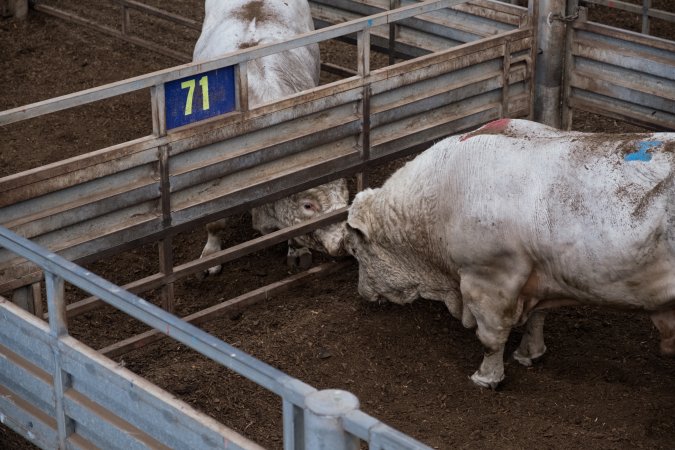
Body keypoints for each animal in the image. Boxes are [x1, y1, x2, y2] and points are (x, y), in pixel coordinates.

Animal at [194, 0, 348, 274]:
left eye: (346, 192)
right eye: (308, 206)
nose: (345, 242)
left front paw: (298, 252)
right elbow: (215, 223)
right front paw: (210, 257)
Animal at [346, 118, 675, 386]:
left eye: (356, 251)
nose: (361, 292)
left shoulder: (489, 280)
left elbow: (491, 337)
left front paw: (486, 377)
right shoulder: (539, 275)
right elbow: (537, 317)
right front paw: (529, 353)